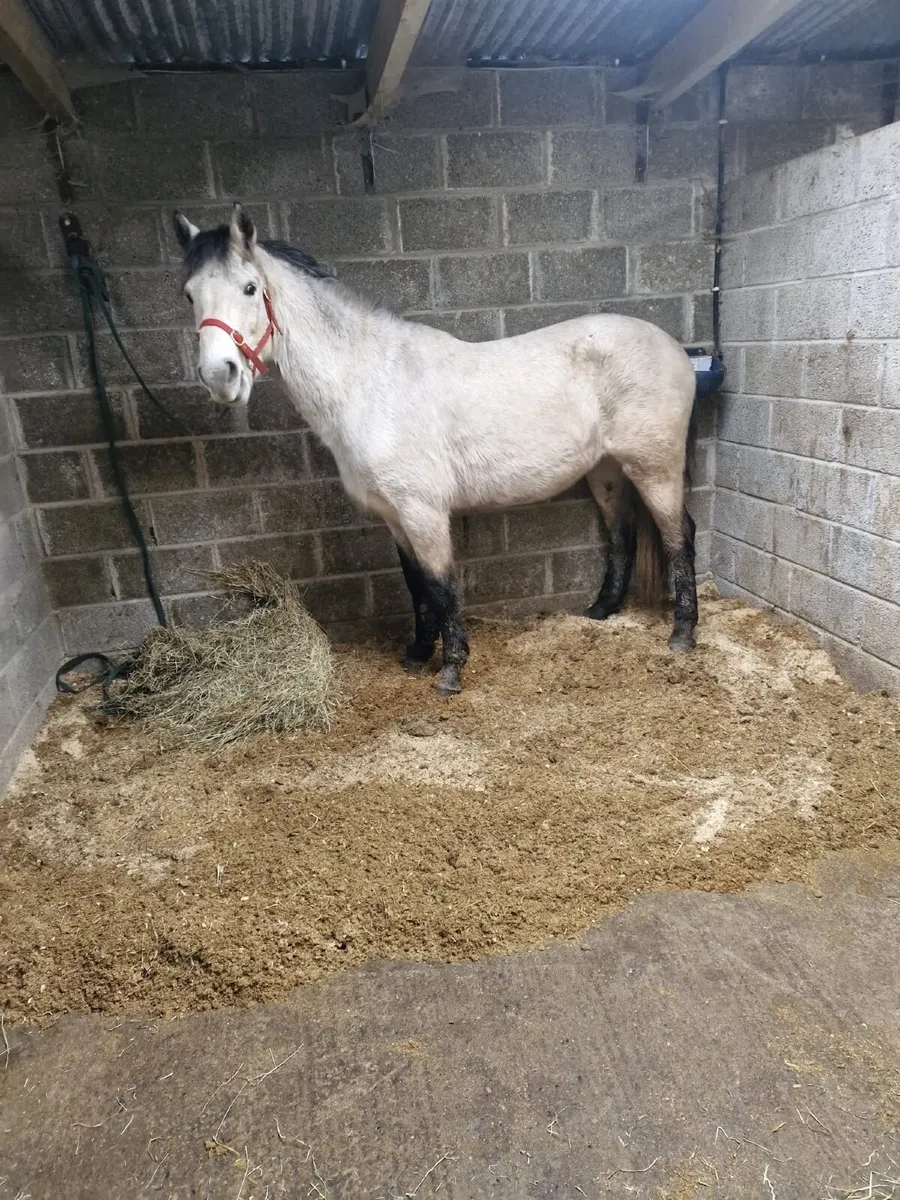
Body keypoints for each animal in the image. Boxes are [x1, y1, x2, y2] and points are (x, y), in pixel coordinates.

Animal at [173, 204, 699, 697]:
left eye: (249, 288)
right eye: (189, 294)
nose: (220, 376)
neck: (371, 385)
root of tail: (676, 350)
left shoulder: (423, 511)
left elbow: (442, 585)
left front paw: (450, 671)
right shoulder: (393, 515)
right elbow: (416, 583)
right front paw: (417, 654)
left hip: (655, 466)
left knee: (679, 536)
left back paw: (683, 635)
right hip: (606, 470)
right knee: (622, 532)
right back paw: (601, 611)